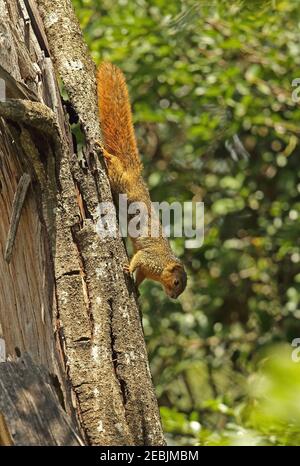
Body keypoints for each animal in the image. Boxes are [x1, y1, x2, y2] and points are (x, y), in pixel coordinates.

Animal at [96, 62, 186, 298]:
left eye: (180, 289)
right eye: (176, 283)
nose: (174, 297)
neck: (162, 268)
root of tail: (135, 173)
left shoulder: (148, 269)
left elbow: (141, 275)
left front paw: (136, 289)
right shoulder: (148, 258)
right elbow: (137, 259)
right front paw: (128, 268)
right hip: (120, 180)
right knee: (115, 164)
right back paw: (105, 154)